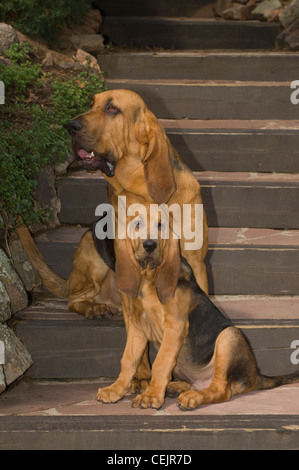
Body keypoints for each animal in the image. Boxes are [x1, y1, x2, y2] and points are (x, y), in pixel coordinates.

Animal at [96, 204, 299, 410]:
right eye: (137, 224)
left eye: (161, 225)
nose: (150, 245)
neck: (148, 278)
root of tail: (256, 376)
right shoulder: (137, 327)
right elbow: (128, 360)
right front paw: (115, 390)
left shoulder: (175, 327)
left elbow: (160, 363)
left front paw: (151, 396)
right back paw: (175, 387)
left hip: (229, 336)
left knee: (221, 389)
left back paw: (191, 397)